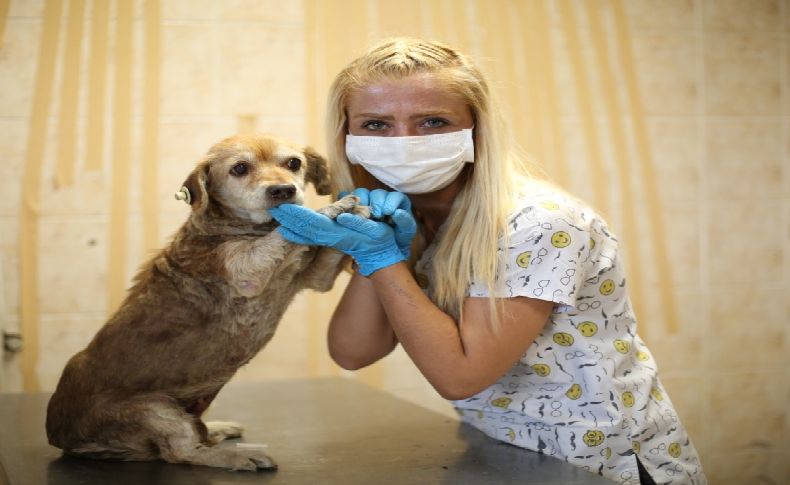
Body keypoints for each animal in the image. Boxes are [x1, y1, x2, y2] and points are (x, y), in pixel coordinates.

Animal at [43, 132, 366, 468]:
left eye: (293, 163)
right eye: (239, 168)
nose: (283, 190)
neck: (245, 229)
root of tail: (60, 436)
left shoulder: (316, 277)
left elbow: (324, 248)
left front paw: (356, 215)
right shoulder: (247, 270)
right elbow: (290, 230)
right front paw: (334, 207)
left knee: (194, 436)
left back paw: (217, 429)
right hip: (155, 410)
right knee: (181, 452)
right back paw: (237, 457)